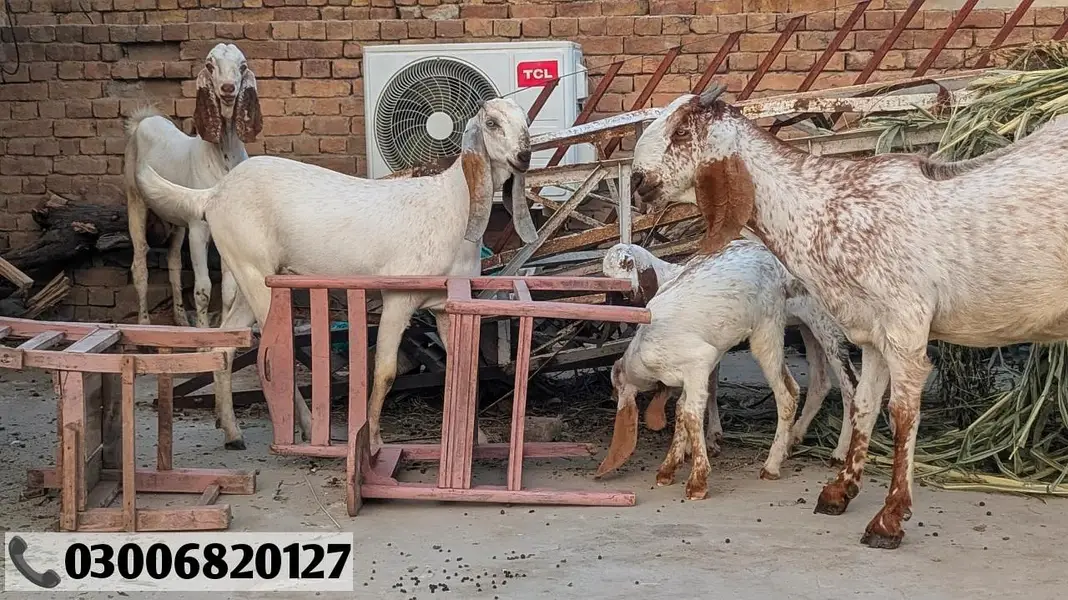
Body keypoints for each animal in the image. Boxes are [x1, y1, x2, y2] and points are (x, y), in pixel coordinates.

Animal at [133, 97, 539, 453]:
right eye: (492, 123)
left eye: (525, 123)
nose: (524, 157)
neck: (451, 205)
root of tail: (213, 194)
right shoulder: (398, 297)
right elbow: (385, 372)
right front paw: (373, 441)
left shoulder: (444, 304)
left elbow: (464, 369)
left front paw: (479, 438)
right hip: (252, 269)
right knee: (273, 353)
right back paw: (306, 427)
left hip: (254, 272)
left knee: (224, 343)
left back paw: (232, 431)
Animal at [595, 241, 858, 500]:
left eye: (627, 265)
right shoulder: (694, 372)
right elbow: (682, 408)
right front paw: (672, 465)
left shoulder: (701, 359)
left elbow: (691, 412)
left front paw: (698, 478)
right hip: (802, 328)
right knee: (816, 383)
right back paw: (792, 440)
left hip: (782, 329)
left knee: (818, 389)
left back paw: (787, 461)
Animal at [629, 83, 1068, 548]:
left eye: (680, 132)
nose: (637, 181)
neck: (827, 207)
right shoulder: (873, 331)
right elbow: (863, 402)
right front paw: (840, 490)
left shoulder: (905, 324)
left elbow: (901, 413)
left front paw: (888, 519)